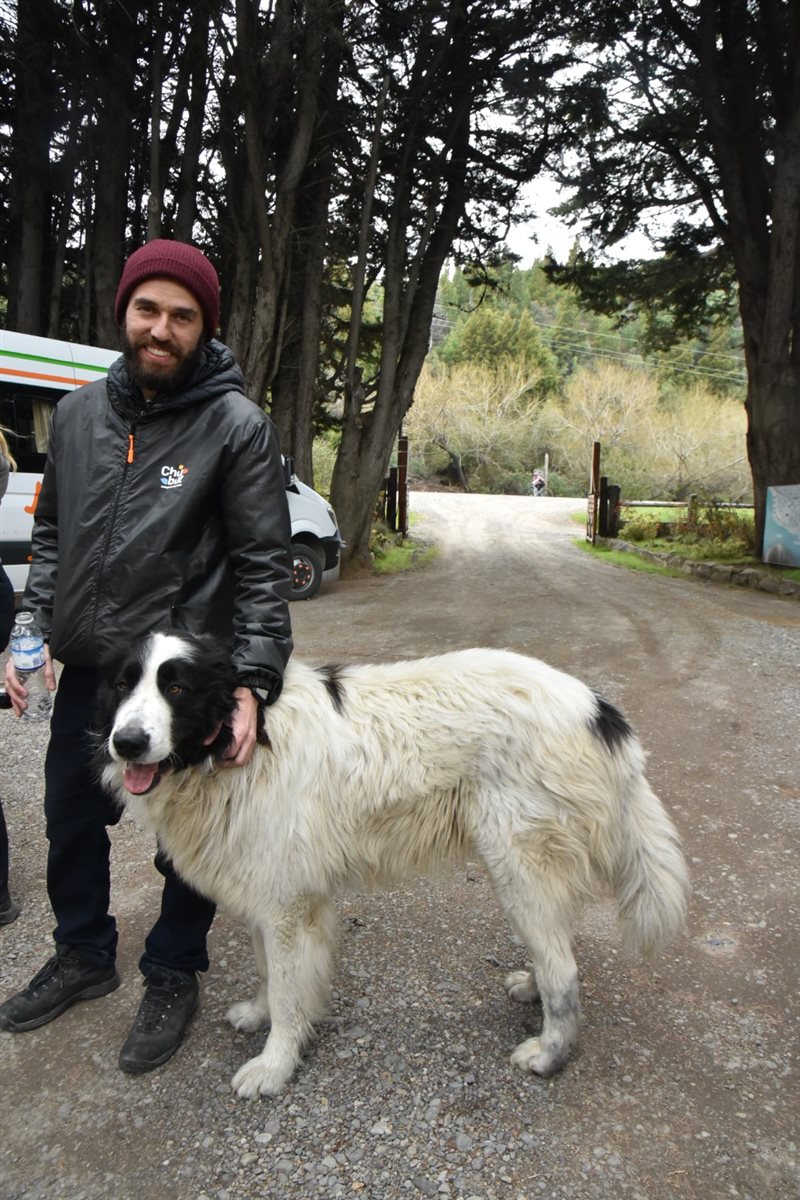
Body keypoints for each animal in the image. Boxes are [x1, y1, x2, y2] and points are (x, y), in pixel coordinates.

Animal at [98, 633, 690, 1099]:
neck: (237, 748)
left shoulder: (289, 907)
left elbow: (289, 993)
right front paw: (260, 1015)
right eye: (123, 685)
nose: (125, 742)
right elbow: (269, 974)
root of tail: (596, 707)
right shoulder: (267, 897)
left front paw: (274, 1065)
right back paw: (532, 987)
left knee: (563, 970)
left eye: (177, 689)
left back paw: (548, 1054)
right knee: (557, 952)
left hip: (518, 867)